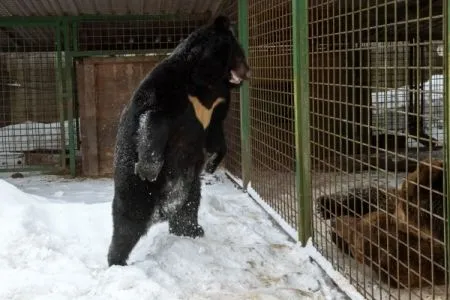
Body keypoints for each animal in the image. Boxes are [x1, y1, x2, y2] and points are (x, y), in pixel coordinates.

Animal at [107, 15, 251, 266]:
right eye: (239, 53)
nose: (248, 72)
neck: (206, 82)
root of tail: (161, 210)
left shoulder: (217, 105)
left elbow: (216, 134)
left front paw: (212, 163)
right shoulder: (169, 87)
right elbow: (153, 117)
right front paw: (149, 168)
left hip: (190, 184)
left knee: (188, 207)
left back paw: (192, 231)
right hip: (134, 187)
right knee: (128, 222)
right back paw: (117, 261)